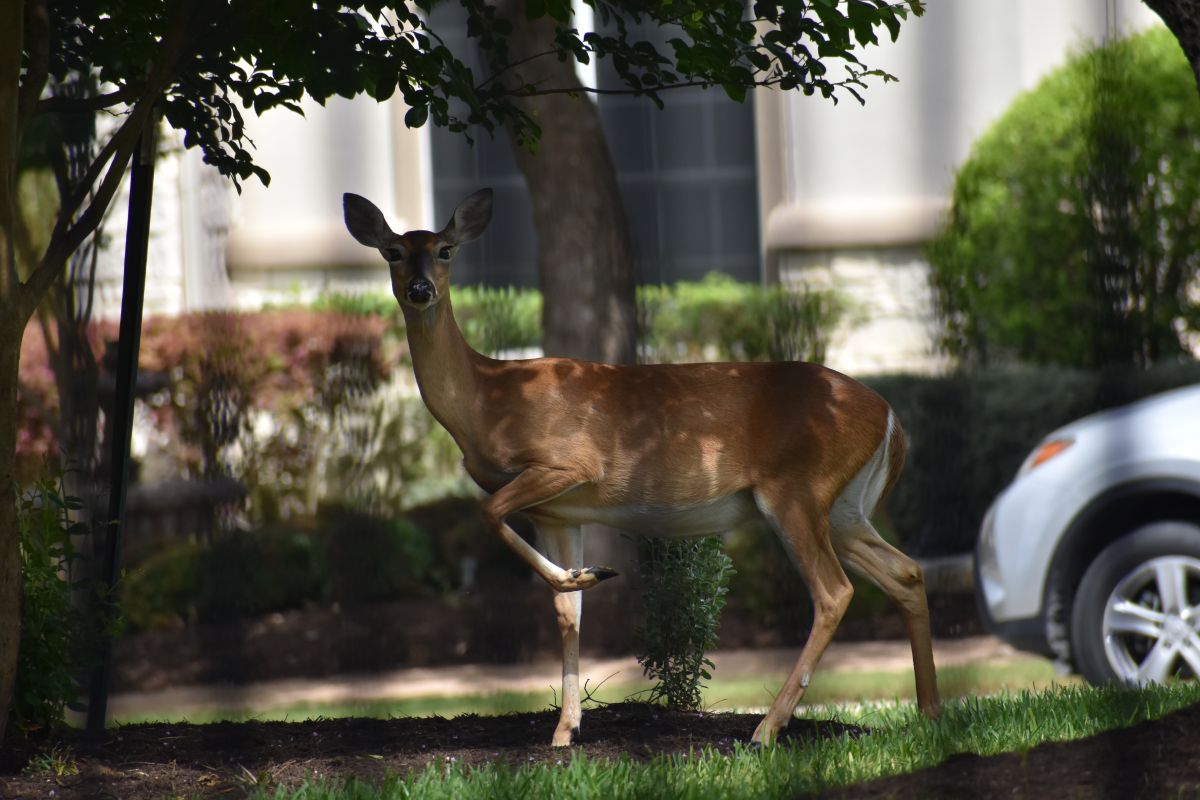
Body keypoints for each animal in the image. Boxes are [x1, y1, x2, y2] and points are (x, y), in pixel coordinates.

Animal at [342, 188, 940, 747]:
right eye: (394, 251)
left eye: (445, 250)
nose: (421, 289)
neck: (488, 397)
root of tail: (891, 417)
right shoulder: (557, 514)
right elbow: (567, 611)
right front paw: (565, 729)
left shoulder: (570, 465)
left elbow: (488, 512)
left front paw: (591, 578)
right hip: (842, 507)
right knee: (906, 571)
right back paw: (930, 711)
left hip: (799, 490)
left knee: (834, 592)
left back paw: (766, 730)